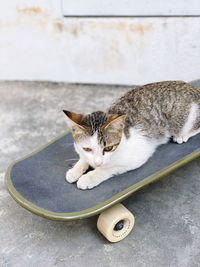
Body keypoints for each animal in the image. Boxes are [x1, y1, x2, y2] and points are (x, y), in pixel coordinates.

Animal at [63, 81, 200, 191]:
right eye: (87, 148)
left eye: (108, 148)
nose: (98, 163)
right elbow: (84, 158)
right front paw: (75, 170)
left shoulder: (138, 156)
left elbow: (109, 168)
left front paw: (89, 177)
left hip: (181, 121)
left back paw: (182, 136)